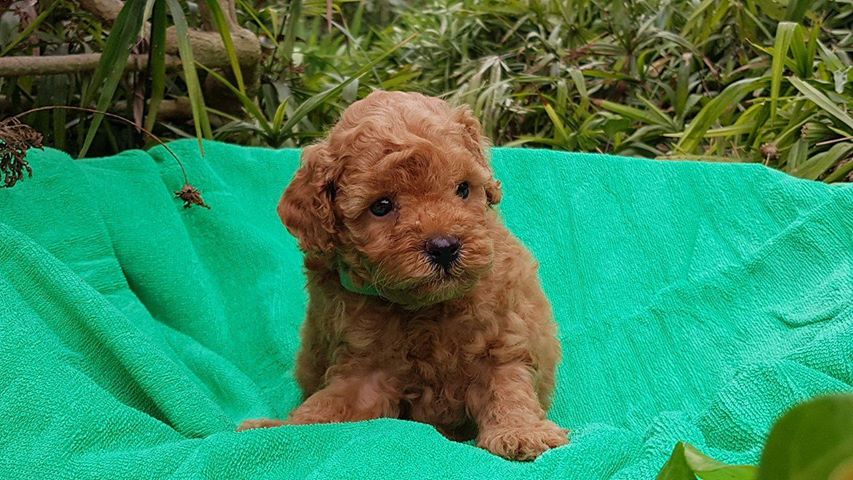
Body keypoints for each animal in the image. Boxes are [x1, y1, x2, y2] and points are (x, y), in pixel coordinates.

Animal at [240, 90, 568, 462]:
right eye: (381, 206)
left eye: (462, 189)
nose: (444, 247)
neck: (426, 308)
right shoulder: (365, 369)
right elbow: (327, 406)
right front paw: (277, 427)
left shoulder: (500, 339)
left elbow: (508, 387)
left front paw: (522, 432)